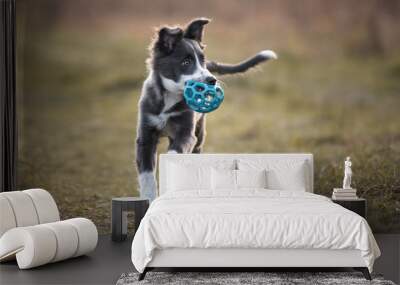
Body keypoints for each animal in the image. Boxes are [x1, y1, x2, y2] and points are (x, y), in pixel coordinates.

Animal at [136, 17, 276, 201]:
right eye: (186, 62)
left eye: (202, 60)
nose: (212, 80)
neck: (169, 97)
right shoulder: (146, 135)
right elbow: (146, 175)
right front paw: (149, 199)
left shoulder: (186, 134)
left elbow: (174, 154)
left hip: (200, 132)